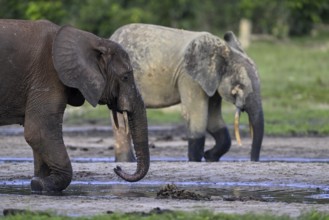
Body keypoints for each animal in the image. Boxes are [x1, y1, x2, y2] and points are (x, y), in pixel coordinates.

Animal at [0, 20, 149, 192]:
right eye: (125, 77)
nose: (117, 168)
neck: (94, 41)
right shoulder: (48, 74)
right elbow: (38, 131)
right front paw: (45, 183)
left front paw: (39, 182)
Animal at [110, 23, 264, 162]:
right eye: (239, 86)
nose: (253, 160)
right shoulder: (189, 78)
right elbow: (197, 114)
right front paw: (195, 160)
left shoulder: (211, 82)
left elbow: (212, 118)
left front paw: (209, 157)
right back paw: (127, 162)